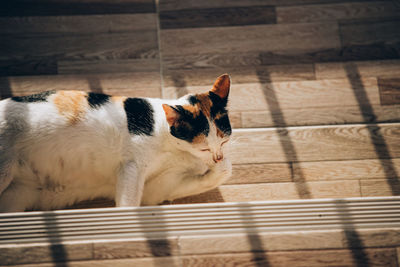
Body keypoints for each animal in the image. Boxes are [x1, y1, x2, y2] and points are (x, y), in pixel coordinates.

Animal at [0, 74, 233, 213]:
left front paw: (222, 166)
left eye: (224, 141)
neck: (178, 149)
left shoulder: (157, 190)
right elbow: (128, 203)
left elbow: (218, 174)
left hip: (19, 195)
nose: (217, 157)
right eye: (203, 146)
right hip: (5, 168)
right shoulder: (132, 166)